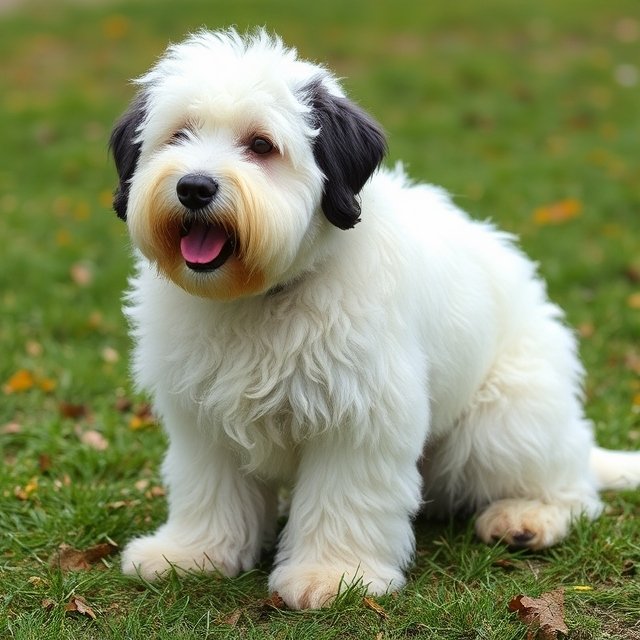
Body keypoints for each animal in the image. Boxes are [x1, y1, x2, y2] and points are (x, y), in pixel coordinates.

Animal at [110, 28, 640, 608]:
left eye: (261, 145)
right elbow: (210, 488)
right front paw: (192, 553)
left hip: (502, 425)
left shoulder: (360, 414)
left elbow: (344, 496)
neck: (262, 297)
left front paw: (332, 574)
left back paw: (529, 517)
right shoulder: (202, 418)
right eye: (178, 135)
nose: (194, 187)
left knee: (572, 488)